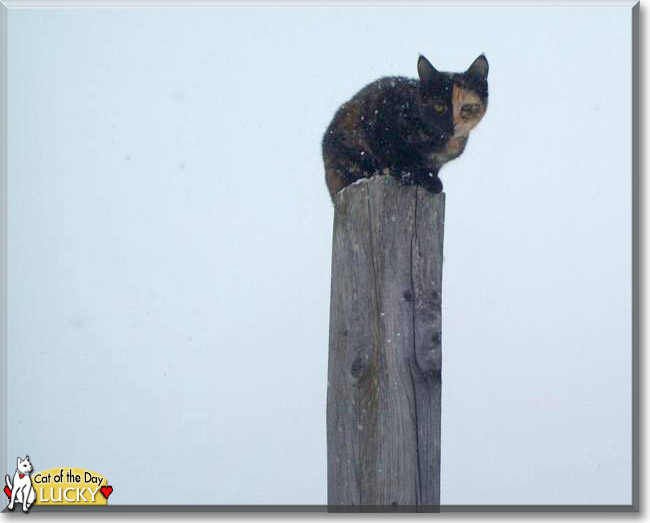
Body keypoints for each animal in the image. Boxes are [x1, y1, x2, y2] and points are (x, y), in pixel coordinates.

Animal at [322, 53, 488, 201]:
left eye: (466, 108)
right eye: (439, 107)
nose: (452, 124)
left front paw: (430, 178)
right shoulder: (381, 116)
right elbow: (398, 155)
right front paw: (415, 176)